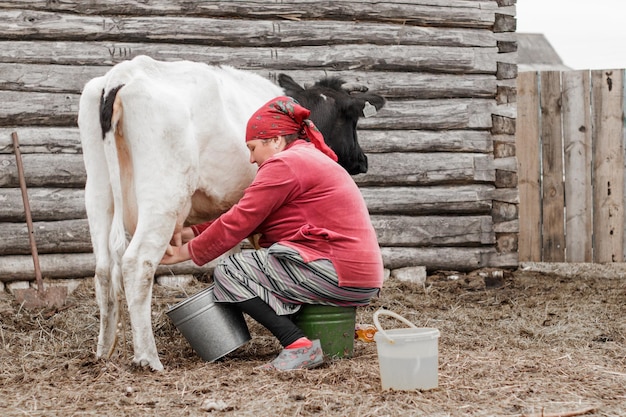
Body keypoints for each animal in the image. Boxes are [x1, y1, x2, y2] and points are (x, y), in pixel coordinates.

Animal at [75, 53, 382, 368]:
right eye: (354, 122)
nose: (363, 160)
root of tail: (122, 75)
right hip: (163, 193)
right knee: (137, 263)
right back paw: (148, 358)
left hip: (97, 191)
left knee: (102, 268)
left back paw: (103, 351)